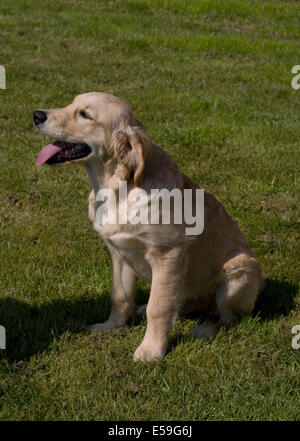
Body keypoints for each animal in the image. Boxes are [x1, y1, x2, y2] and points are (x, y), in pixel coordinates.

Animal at [33, 93, 262, 360]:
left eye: (84, 115)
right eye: (71, 103)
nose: (37, 115)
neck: (117, 188)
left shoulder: (167, 255)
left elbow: (159, 307)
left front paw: (151, 350)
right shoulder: (119, 253)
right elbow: (120, 296)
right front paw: (110, 326)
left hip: (238, 271)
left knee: (229, 318)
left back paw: (204, 329)